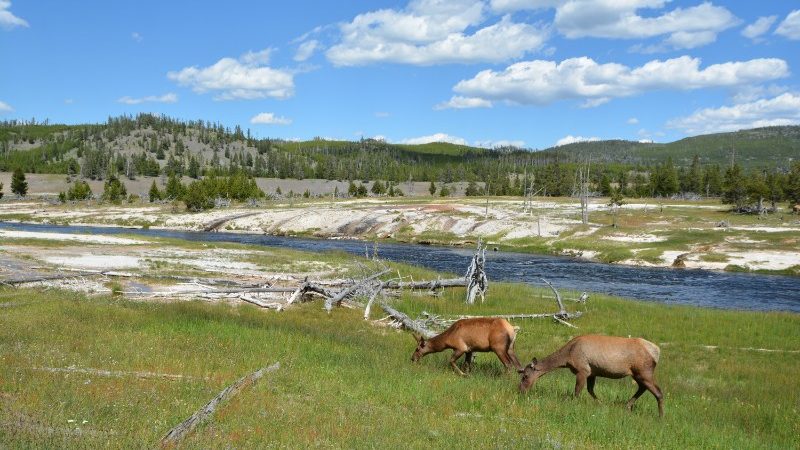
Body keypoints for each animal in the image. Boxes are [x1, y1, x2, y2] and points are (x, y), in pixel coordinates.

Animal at [520, 336, 664, 416]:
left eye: (525, 376)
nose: (520, 391)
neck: (567, 358)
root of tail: (657, 351)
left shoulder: (583, 370)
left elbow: (577, 391)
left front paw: (574, 405)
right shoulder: (592, 372)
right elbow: (590, 390)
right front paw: (601, 404)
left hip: (644, 371)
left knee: (658, 392)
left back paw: (661, 416)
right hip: (638, 374)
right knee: (643, 388)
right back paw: (628, 406)